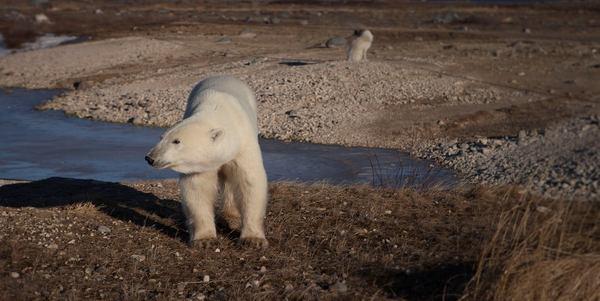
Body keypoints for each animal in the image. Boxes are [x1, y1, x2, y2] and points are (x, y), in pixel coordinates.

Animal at [144, 75, 268, 248]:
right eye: (161, 137)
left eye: (176, 141)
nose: (150, 157)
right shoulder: (200, 166)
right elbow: (197, 188)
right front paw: (205, 240)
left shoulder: (244, 145)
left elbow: (250, 181)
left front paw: (253, 240)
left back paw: (231, 216)